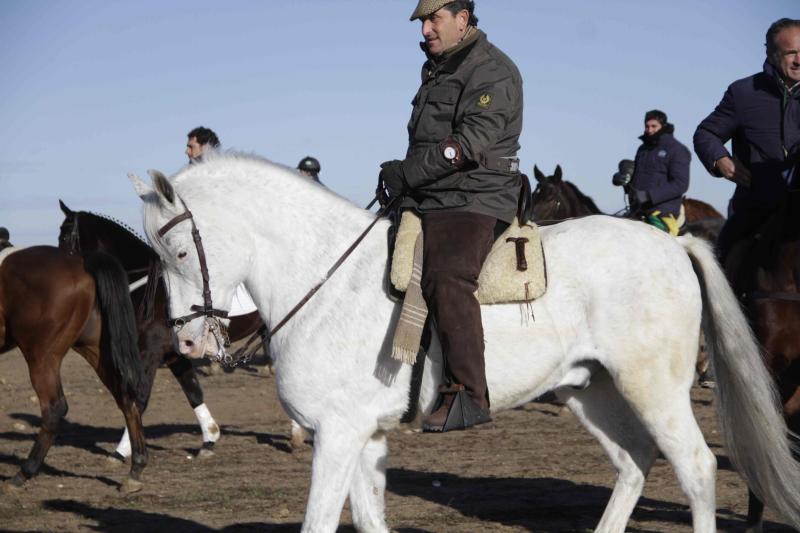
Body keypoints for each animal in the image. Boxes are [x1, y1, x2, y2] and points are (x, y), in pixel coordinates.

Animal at [0, 247, 148, 492]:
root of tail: (81, 261)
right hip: (96, 350)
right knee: (126, 398)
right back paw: (135, 470)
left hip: (42, 357)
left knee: (54, 408)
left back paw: (24, 473)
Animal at [60, 202, 266, 460]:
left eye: (65, 237)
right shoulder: (173, 355)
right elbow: (193, 392)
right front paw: (209, 439)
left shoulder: (150, 353)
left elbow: (140, 400)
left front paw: (122, 451)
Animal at [130, 154, 800, 532]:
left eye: (180, 250)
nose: (189, 343)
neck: (325, 275)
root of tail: (673, 245)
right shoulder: (361, 437)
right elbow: (368, 520)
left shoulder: (340, 434)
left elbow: (320, 521)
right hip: (590, 392)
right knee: (635, 461)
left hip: (653, 389)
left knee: (696, 468)